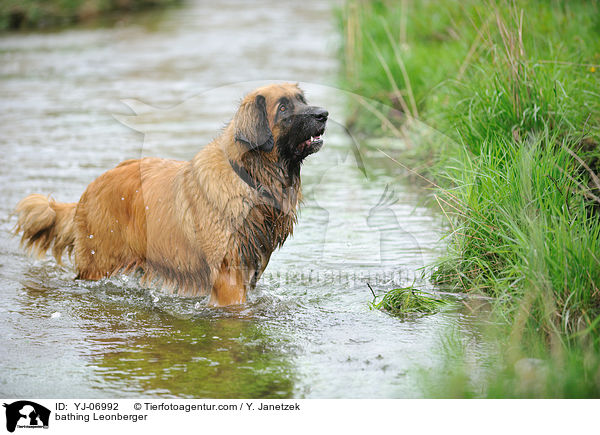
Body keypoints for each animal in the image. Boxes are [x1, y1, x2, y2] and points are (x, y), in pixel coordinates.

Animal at [14, 82, 328, 306]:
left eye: (302, 99)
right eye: (284, 108)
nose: (323, 114)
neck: (250, 178)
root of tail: (89, 190)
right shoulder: (227, 273)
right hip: (98, 263)